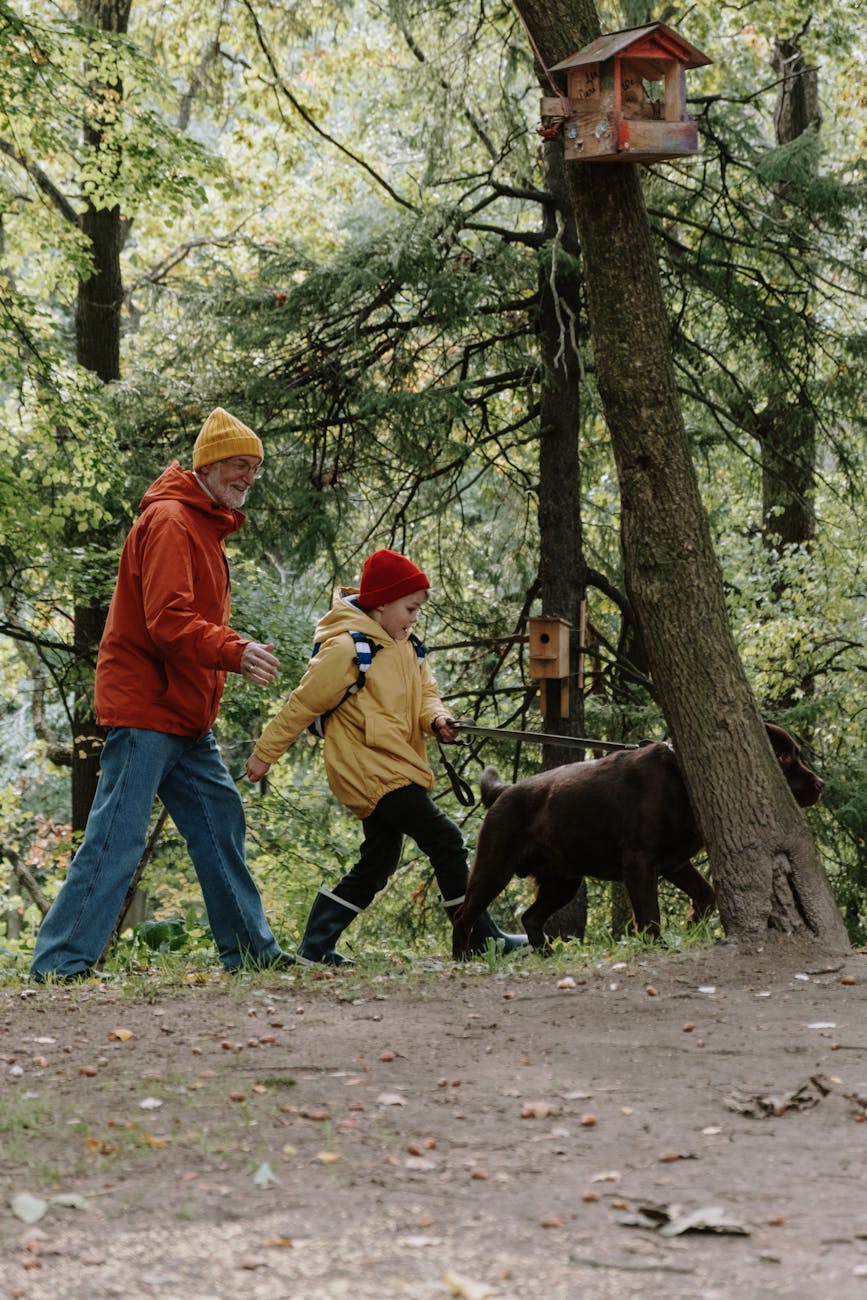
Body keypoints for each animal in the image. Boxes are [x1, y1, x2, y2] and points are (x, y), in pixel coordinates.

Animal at [452, 722, 826, 956]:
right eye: (784, 757)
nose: (820, 784)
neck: (682, 780)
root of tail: (503, 790)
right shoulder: (640, 864)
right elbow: (649, 914)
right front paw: (658, 946)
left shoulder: (675, 862)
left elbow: (705, 895)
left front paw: (691, 925)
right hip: (493, 869)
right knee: (463, 917)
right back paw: (462, 961)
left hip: (563, 880)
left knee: (530, 917)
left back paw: (546, 954)